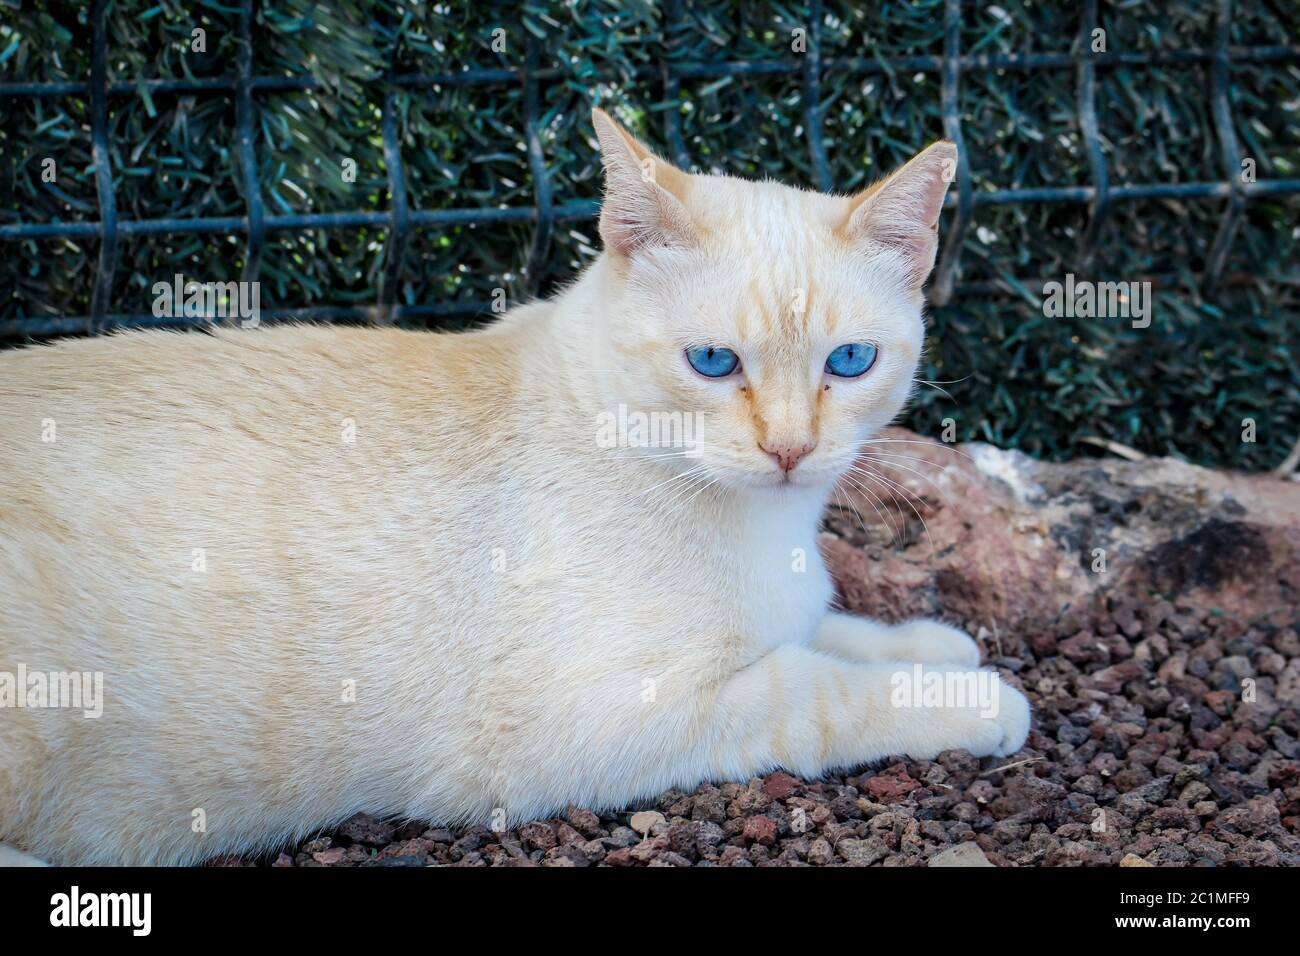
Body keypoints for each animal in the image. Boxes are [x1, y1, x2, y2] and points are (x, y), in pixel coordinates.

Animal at [0, 106, 1029, 868]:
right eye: (711, 362)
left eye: (850, 362)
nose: (789, 449)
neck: (766, 524)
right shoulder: (599, 724)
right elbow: (822, 692)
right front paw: (981, 700)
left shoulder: (786, 614)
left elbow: (837, 631)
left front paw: (936, 646)